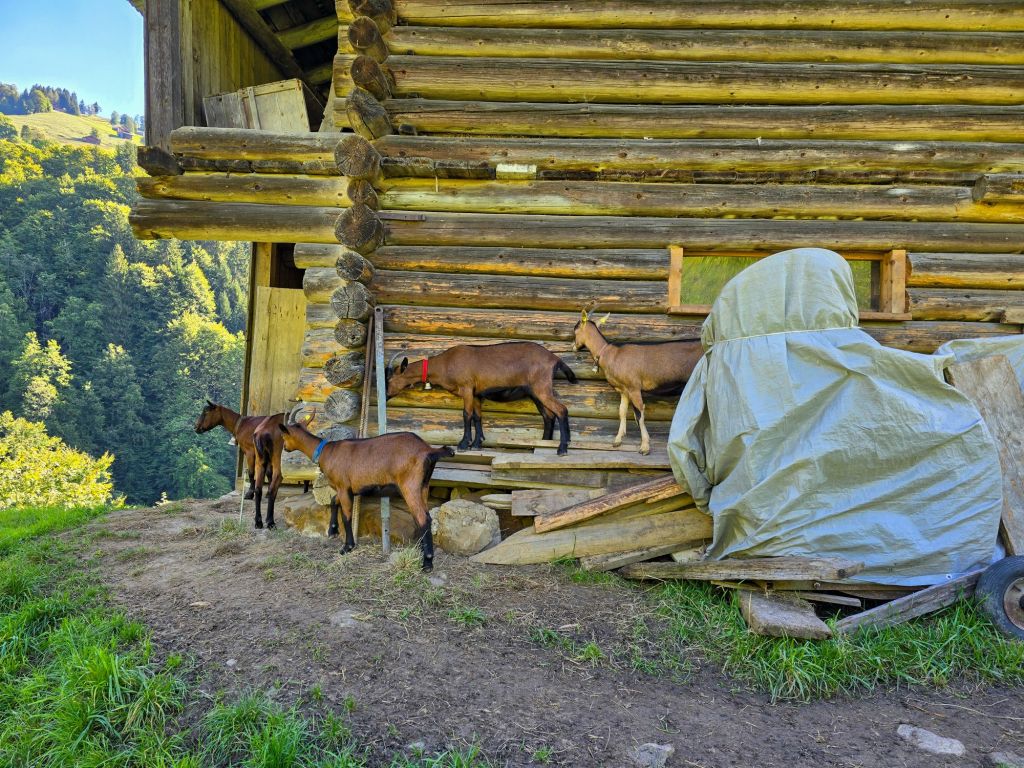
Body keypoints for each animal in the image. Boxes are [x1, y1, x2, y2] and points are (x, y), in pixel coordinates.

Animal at [278, 420, 454, 571]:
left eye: (283, 436)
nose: (285, 447)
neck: (326, 451)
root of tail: (428, 450)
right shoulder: (345, 489)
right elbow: (334, 502)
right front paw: (332, 530)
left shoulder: (343, 487)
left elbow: (346, 516)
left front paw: (347, 547)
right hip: (423, 486)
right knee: (425, 517)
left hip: (410, 486)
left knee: (423, 518)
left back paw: (427, 563)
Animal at [384, 342, 577, 455]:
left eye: (389, 379)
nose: (385, 396)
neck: (445, 364)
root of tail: (555, 358)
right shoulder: (476, 394)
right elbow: (477, 416)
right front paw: (477, 443)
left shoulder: (467, 388)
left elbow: (466, 415)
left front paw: (463, 444)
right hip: (535, 392)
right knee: (548, 415)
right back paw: (543, 443)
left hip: (541, 387)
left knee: (561, 410)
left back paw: (562, 448)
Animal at [572, 306, 703, 455]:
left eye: (575, 329)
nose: (573, 346)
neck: (610, 354)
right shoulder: (624, 390)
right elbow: (622, 411)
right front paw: (618, 439)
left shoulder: (634, 388)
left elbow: (639, 414)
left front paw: (645, 446)